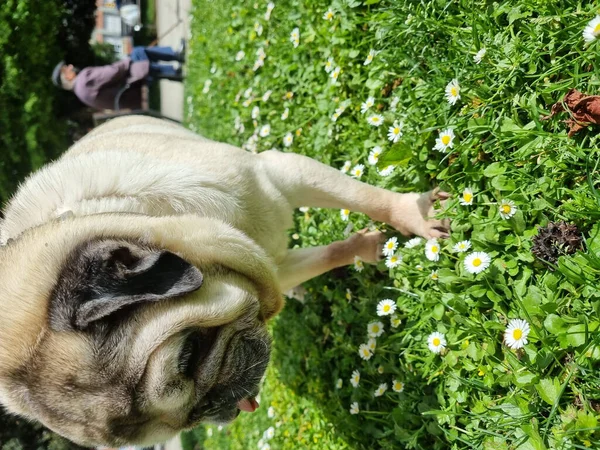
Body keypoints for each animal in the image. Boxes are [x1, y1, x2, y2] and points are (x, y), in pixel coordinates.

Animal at [0, 116, 448, 446]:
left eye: (190, 354)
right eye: (183, 423)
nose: (216, 406)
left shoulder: (277, 175)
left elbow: (370, 199)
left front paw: (414, 216)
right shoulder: (268, 264)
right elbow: (325, 255)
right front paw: (365, 248)